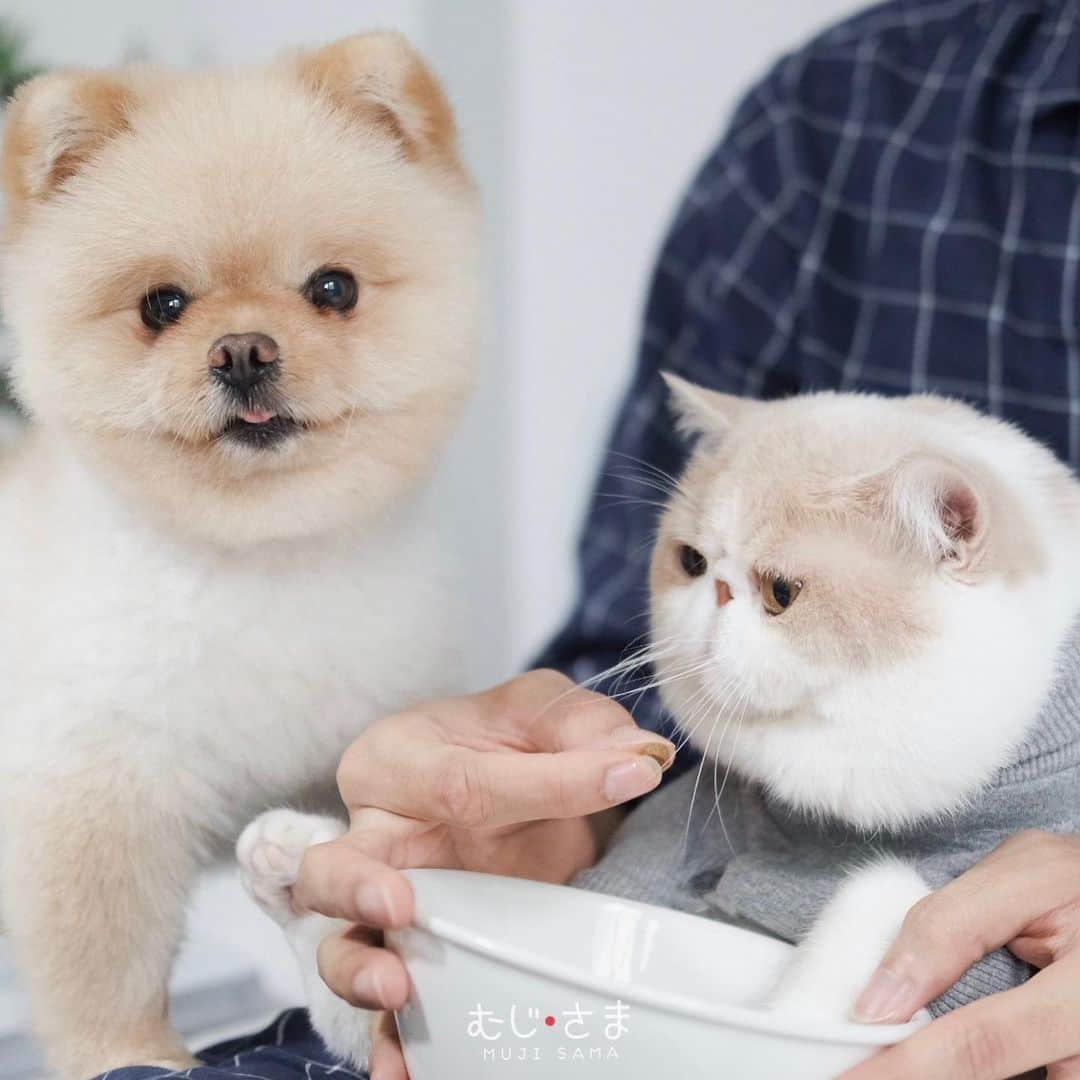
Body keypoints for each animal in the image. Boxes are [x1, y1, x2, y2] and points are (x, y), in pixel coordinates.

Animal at [0, 29, 477, 1075]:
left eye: (333, 288)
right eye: (161, 304)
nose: (245, 350)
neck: (263, 560)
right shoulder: (97, 783)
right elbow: (105, 964)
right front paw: (126, 1052)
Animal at [240, 373, 1080, 1062]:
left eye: (780, 593)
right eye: (691, 562)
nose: (715, 595)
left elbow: (862, 928)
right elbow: (360, 1003)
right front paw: (300, 863)